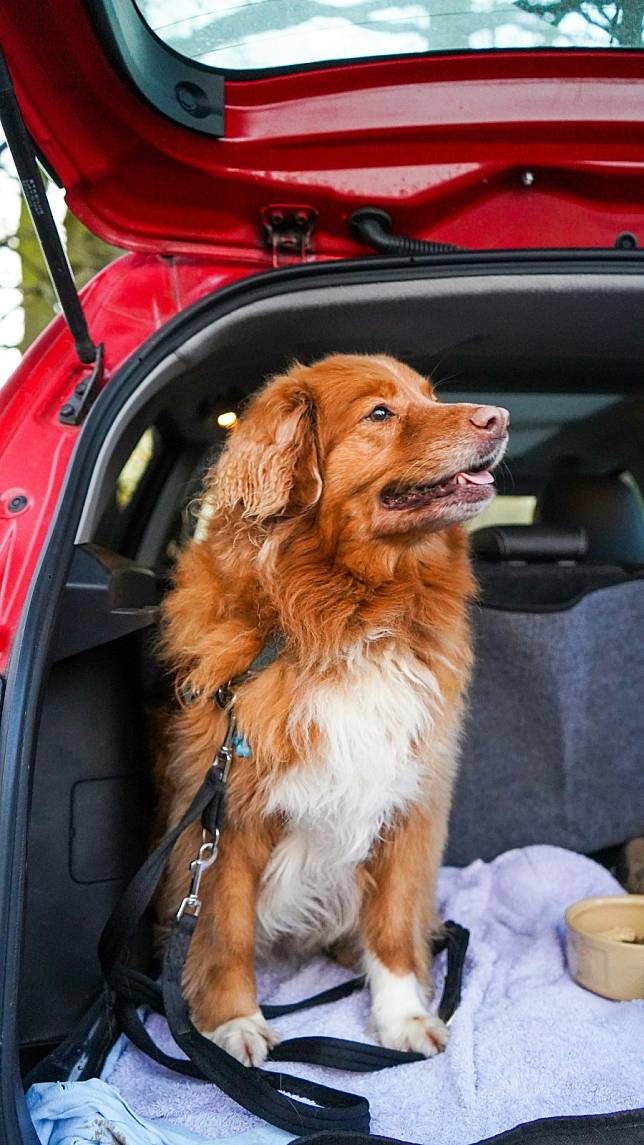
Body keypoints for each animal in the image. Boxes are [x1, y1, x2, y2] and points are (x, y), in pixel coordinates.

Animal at [156, 352, 506, 1067]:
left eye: (430, 396)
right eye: (380, 413)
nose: (499, 416)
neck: (352, 616)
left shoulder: (408, 798)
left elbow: (394, 923)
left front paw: (402, 1015)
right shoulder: (226, 815)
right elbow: (225, 932)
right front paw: (233, 1022)